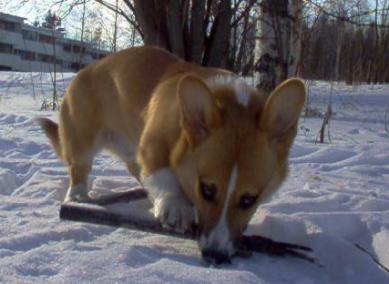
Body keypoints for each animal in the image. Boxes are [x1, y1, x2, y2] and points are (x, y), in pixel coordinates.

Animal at [40, 46, 306, 264]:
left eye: (249, 200)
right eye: (207, 190)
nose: (215, 256)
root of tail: (84, 70)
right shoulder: (151, 145)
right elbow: (163, 173)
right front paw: (176, 207)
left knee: (135, 171)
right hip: (81, 140)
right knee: (79, 168)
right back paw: (77, 196)